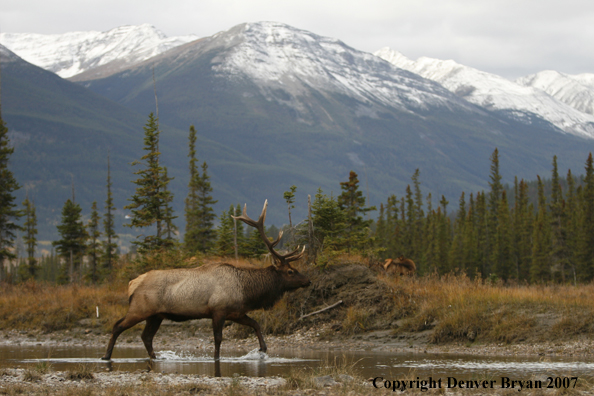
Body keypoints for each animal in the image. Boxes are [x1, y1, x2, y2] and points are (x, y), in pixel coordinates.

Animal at [100, 200, 310, 360]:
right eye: (290, 271)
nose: (307, 281)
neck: (247, 291)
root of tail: (132, 283)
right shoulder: (218, 310)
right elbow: (218, 338)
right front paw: (217, 358)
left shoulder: (236, 312)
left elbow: (256, 324)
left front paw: (263, 348)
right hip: (140, 308)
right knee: (118, 326)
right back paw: (106, 356)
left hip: (156, 315)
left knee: (146, 336)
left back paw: (154, 357)